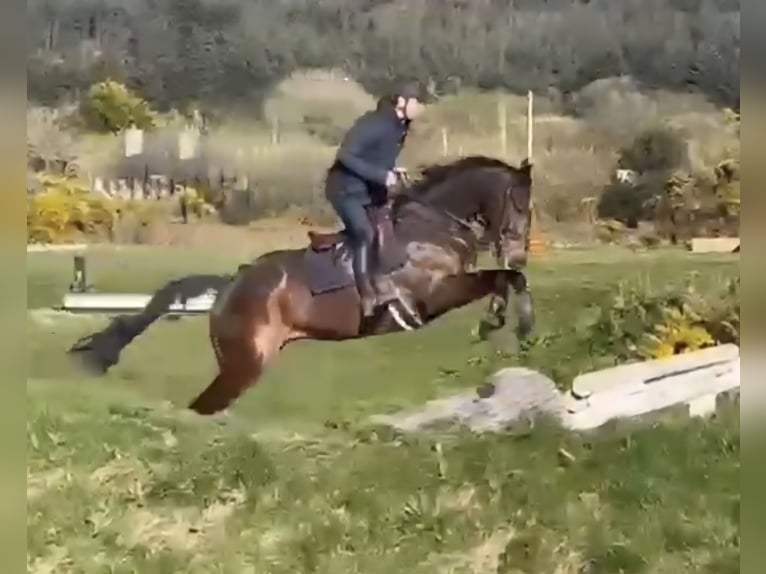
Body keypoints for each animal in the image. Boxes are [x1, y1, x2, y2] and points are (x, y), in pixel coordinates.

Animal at [68, 155, 535, 415]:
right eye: (518, 204)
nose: (518, 251)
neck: (432, 224)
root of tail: (229, 286)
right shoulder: (434, 295)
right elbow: (502, 278)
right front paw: (518, 324)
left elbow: (504, 279)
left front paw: (497, 320)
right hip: (245, 364)